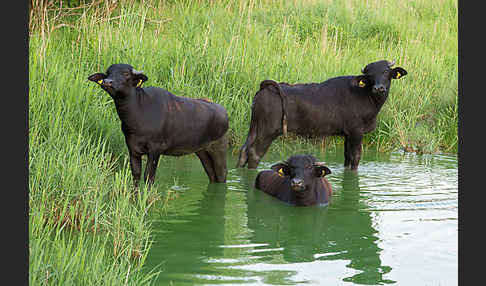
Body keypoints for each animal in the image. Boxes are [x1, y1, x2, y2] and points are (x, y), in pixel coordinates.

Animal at [88, 63, 229, 187]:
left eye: (125, 73)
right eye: (108, 73)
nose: (107, 82)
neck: (138, 113)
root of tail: (224, 112)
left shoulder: (155, 150)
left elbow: (149, 177)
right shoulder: (132, 150)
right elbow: (136, 175)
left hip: (219, 148)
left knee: (221, 173)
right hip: (202, 151)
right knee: (212, 174)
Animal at [235, 58, 406, 170]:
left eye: (385, 71)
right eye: (369, 75)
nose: (379, 88)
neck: (366, 96)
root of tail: (267, 88)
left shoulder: (347, 134)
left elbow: (347, 157)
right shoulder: (356, 132)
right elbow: (355, 158)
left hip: (255, 128)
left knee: (243, 150)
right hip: (268, 132)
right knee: (254, 153)